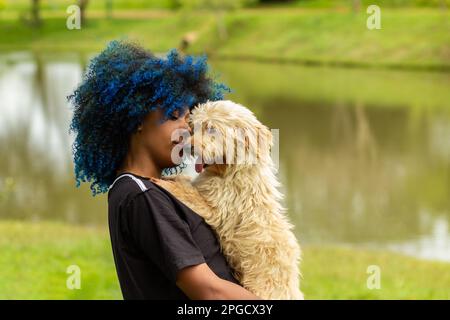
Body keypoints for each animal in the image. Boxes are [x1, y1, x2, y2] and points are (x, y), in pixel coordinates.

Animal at [153, 100, 304, 300]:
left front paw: (164, 182)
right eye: (195, 127)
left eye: (212, 129)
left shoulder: (216, 208)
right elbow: (186, 181)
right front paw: (172, 177)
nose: (188, 147)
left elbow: (187, 193)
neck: (231, 171)